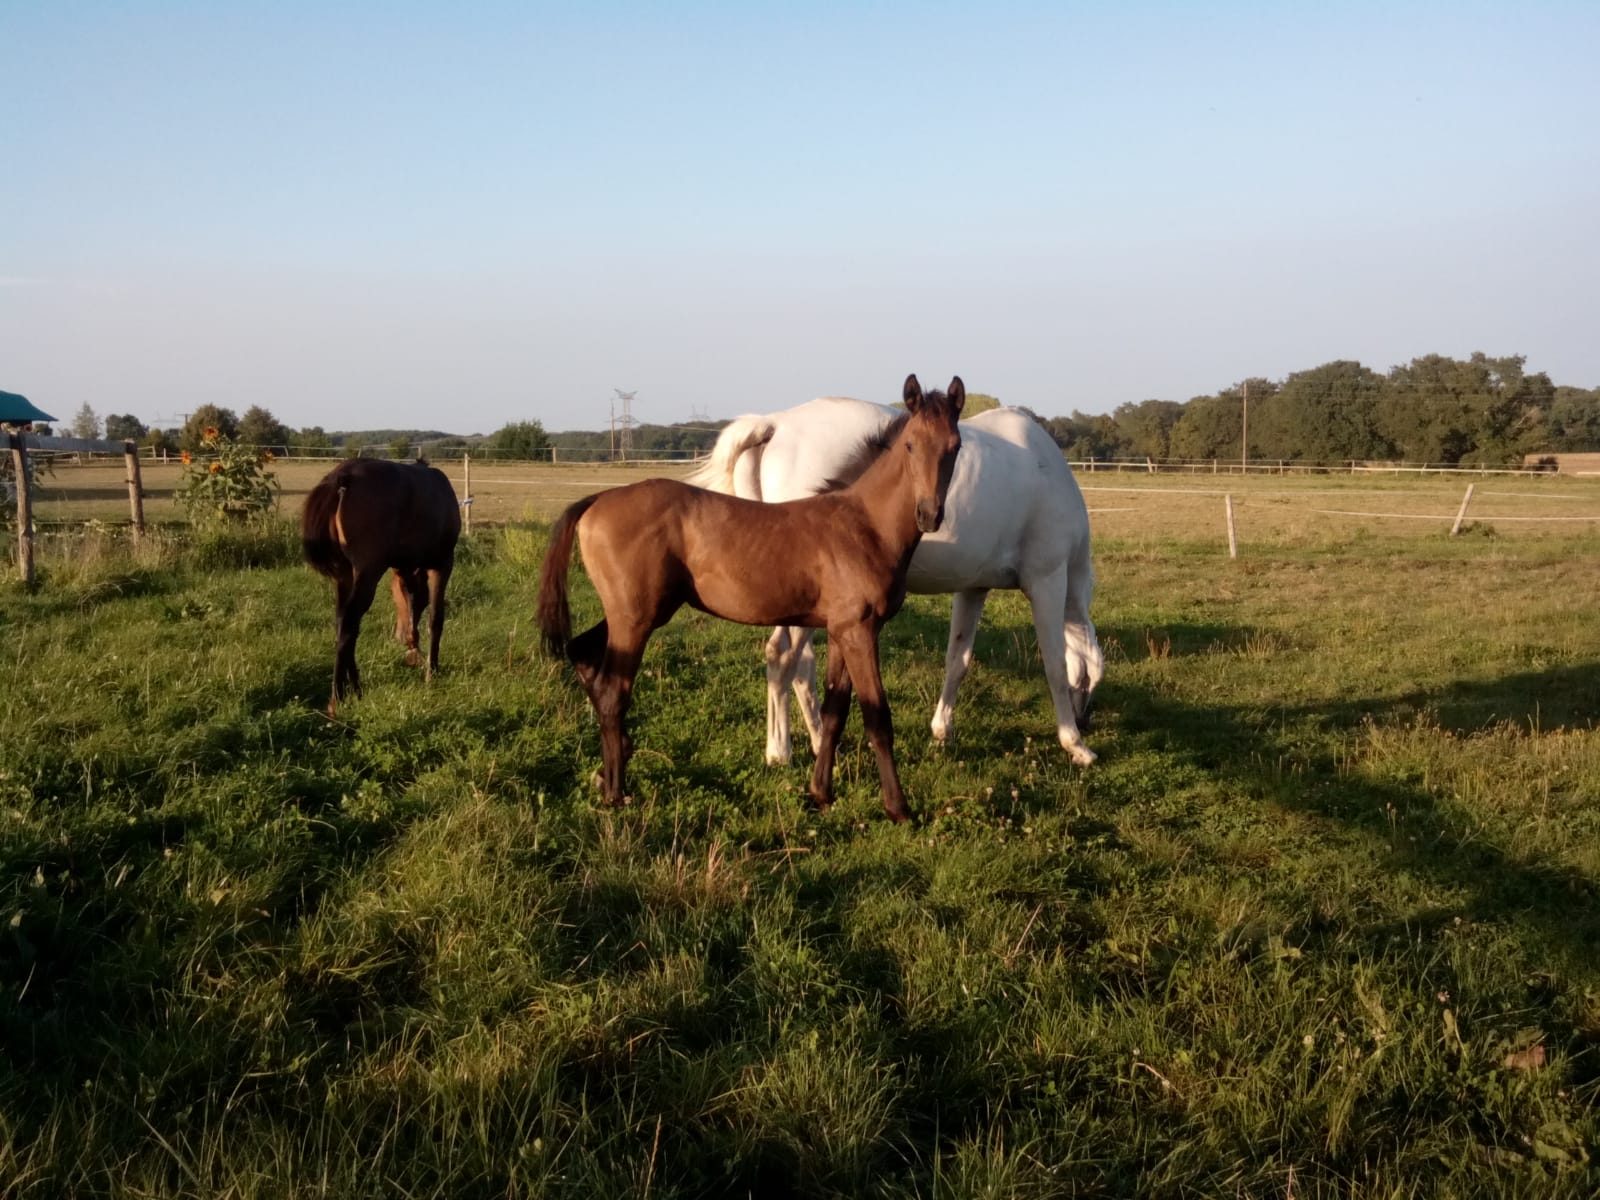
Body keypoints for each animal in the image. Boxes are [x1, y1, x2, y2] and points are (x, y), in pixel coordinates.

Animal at [301, 457, 462, 715]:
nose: (411, 649)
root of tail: (342, 478)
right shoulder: (442, 564)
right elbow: (436, 619)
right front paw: (432, 672)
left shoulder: (402, 568)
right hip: (367, 572)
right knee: (349, 624)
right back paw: (337, 699)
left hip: (345, 575)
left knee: (342, 623)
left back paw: (355, 690)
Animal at [537, 375, 965, 823]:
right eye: (910, 445)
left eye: (954, 446)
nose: (929, 515)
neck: (863, 526)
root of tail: (596, 501)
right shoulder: (860, 631)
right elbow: (877, 717)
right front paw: (899, 809)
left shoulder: (843, 630)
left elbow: (834, 712)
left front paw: (821, 794)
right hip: (634, 619)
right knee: (612, 690)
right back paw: (616, 793)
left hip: (638, 612)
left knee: (582, 653)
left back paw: (610, 768)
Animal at [686, 396, 1101, 766]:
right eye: (1092, 687)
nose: (1085, 721)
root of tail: (775, 424)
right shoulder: (1047, 580)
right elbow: (1056, 664)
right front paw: (1075, 745)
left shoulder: (973, 588)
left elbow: (958, 659)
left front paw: (942, 731)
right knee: (785, 657)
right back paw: (782, 750)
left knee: (798, 664)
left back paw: (817, 740)